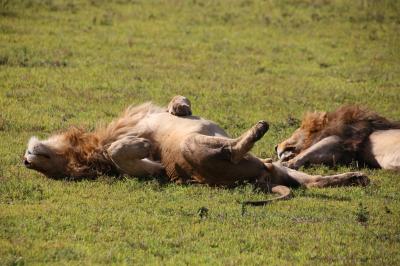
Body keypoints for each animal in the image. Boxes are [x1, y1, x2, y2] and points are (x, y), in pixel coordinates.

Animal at [24, 96, 368, 205]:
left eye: (46, 159)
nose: (26, 161)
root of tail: (261, 179)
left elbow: (177, 100)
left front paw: (179, 107)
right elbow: (124, 153)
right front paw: (142, 146)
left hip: (284, 171)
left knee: (314, 182)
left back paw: (355, 178)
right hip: (197, 147)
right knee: (231, 150)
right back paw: (257, 130)